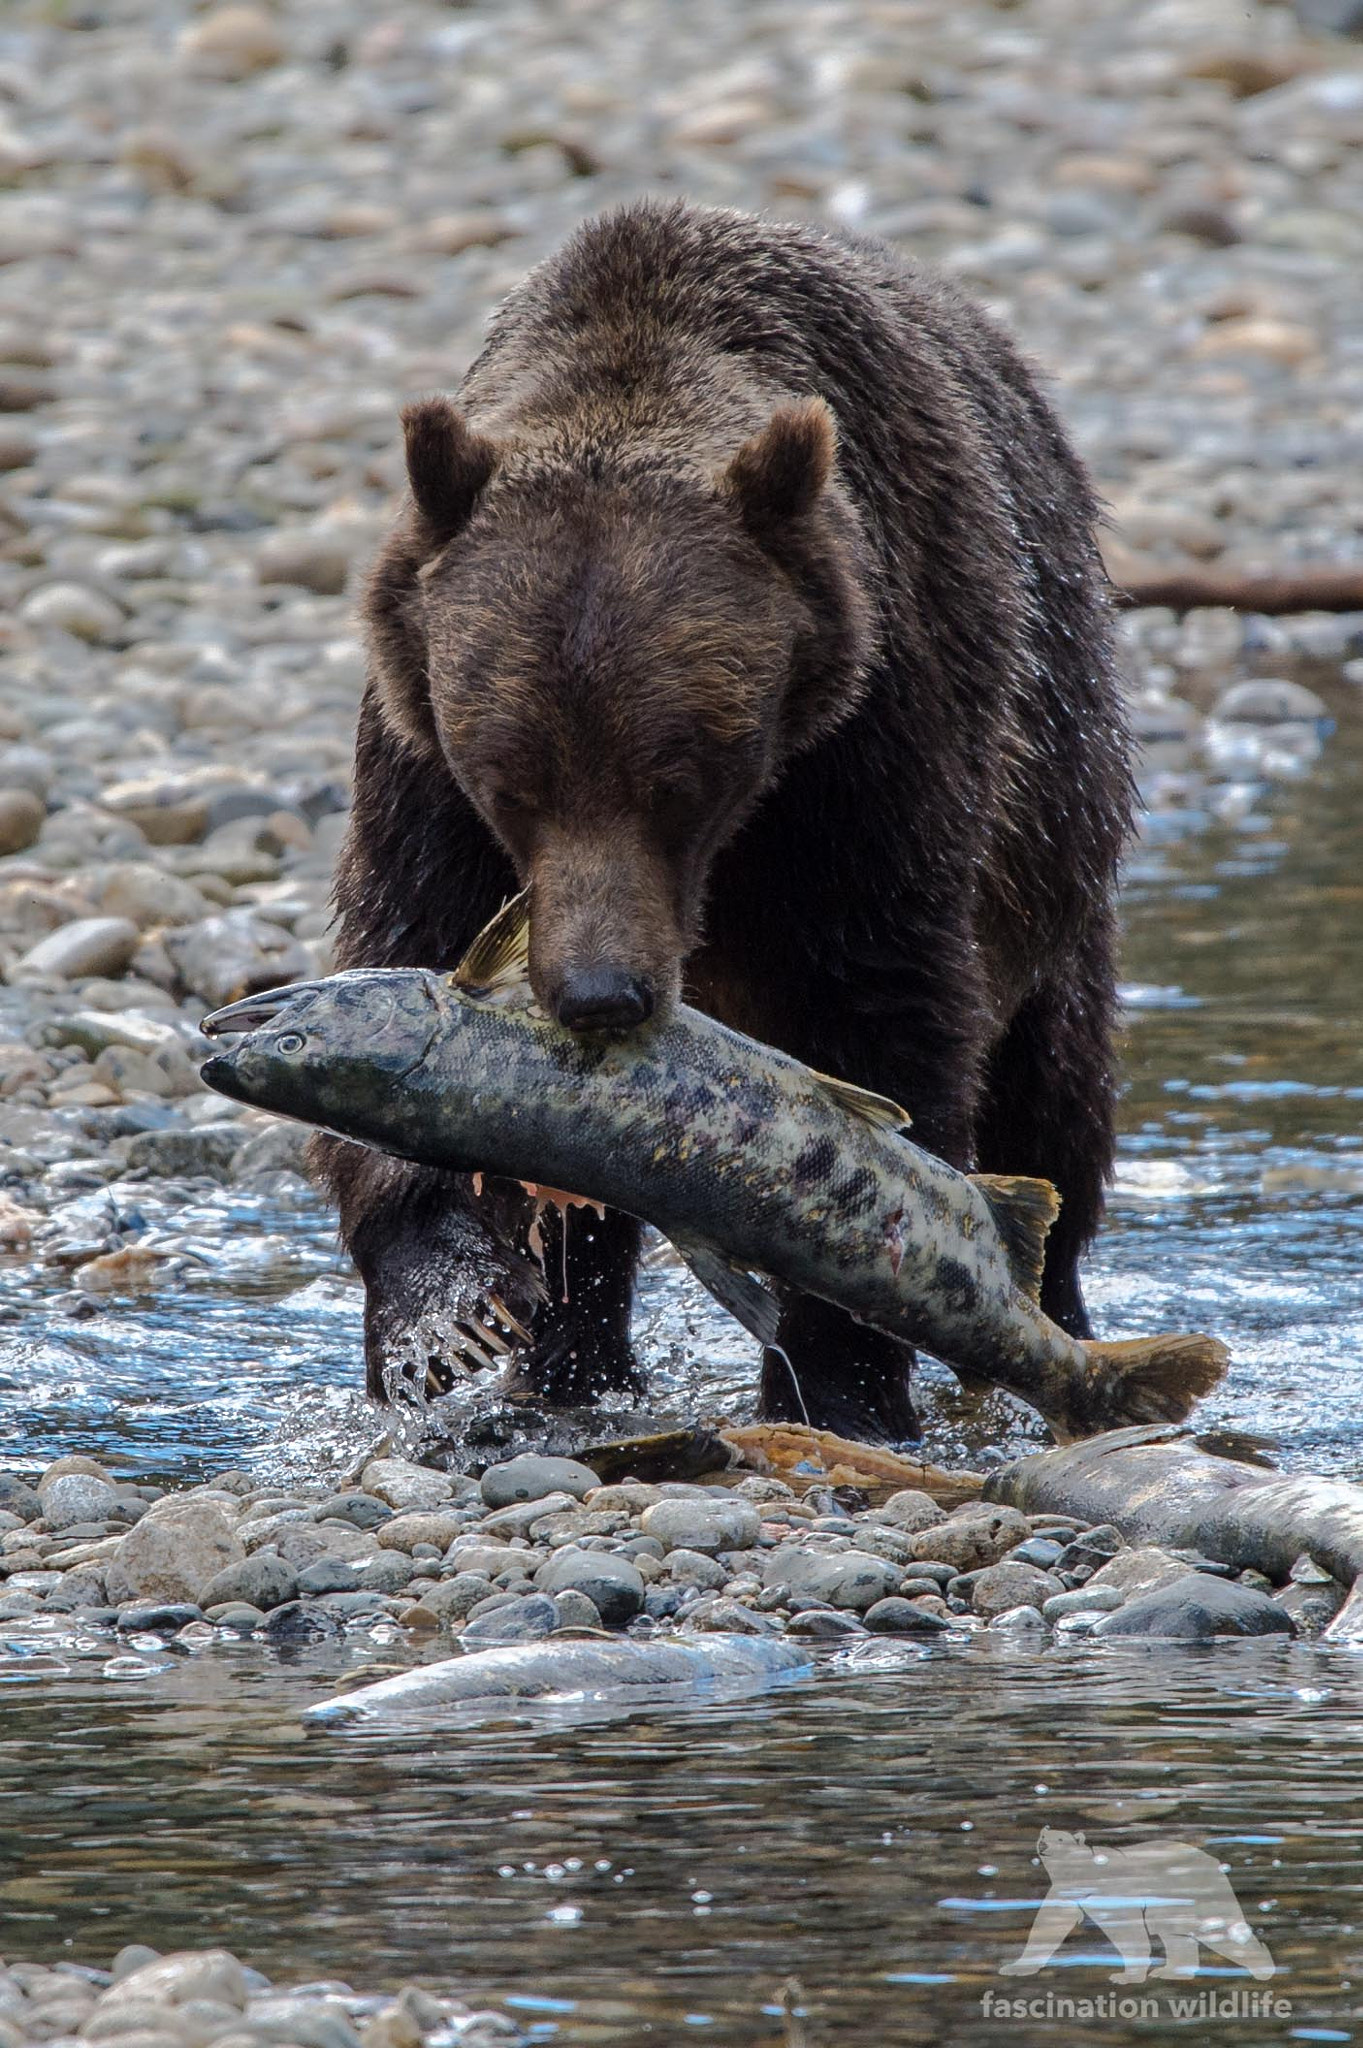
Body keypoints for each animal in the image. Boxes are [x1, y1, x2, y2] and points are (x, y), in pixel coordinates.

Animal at [312, 198, 1132, 1442]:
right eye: (512, 781)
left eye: (680, 778)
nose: (600, 995)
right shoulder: (419, 760)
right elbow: (408, 936)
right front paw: (445, 1319)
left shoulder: (871, 748)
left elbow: (876, 1016)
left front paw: (841, 1381)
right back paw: (570, 1369)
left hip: (1055, 831)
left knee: (1052, 1098)